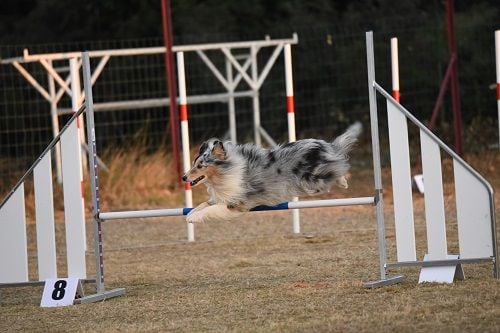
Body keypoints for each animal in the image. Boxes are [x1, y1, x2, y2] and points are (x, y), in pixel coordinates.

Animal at [182, 120, 362, 222]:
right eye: (194, 163)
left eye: (200, 166)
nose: (183, 177)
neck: (225, 173)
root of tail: (327, 146)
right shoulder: (221, 196)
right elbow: (203, 204)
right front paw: (191, 213)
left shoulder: (236, 204)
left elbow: (210, 210)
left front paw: (191, 218)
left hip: (311, 181)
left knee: (337, 170)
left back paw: (343, 181)